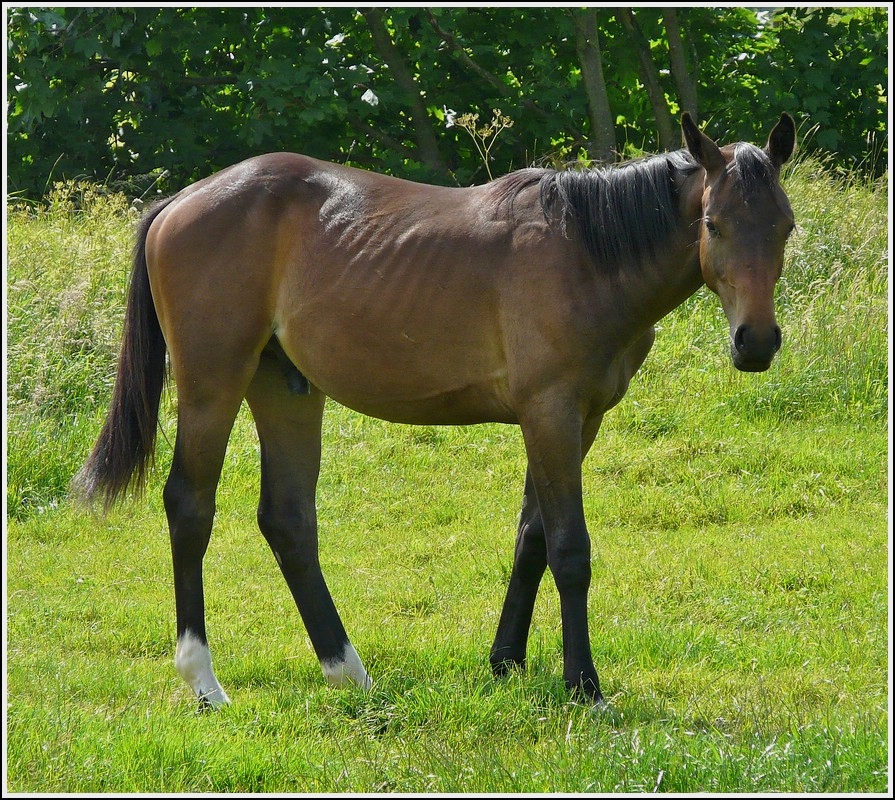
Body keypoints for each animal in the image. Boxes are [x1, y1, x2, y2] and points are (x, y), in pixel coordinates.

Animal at [75, 112, 800, 708]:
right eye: (713, 224)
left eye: (786, 225)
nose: (756, 342)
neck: (587, 251)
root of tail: (180, 201)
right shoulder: (552, 413)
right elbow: (569, 548)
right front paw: (583, 686)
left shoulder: (576, 419)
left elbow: (531, 538)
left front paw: (506, 662)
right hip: (212, 384)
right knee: (190, 507)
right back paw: (204, 681)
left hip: (283, 388)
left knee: (288, 520)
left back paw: (348, 672)